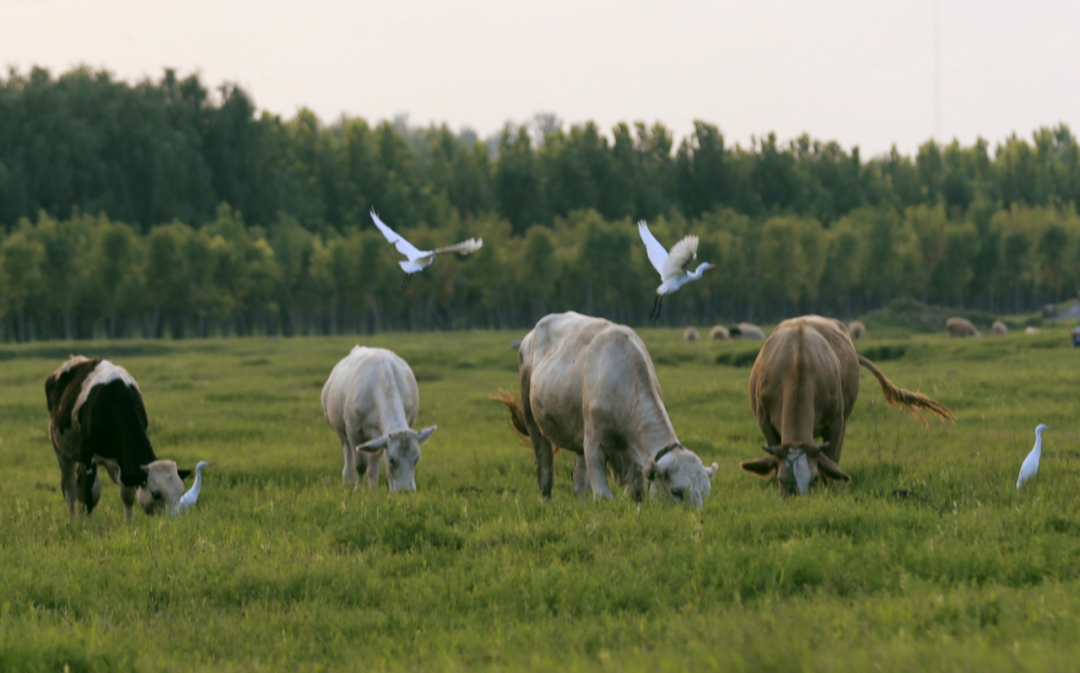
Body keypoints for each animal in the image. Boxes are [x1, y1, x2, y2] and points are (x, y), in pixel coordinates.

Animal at [45, 358, 192, 520]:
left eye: (181, 492)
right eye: (156, 494)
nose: (174, 520)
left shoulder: (123, 461)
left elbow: (127, 495)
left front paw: (128, 522)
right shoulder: (88, 455)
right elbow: (91, 493)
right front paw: (89, 523)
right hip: (60, 448)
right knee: (69, 486)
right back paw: (73, 519)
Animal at [321, 345, 436, 492]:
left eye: (417, 458)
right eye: (392, 459)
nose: (406, 491)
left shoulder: (380, 437)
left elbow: (373, 467)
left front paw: (373, 490)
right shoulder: (354, 431)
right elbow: (360, 465)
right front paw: (358, 490)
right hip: (341, 430)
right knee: (347, 453)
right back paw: (348, 480)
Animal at [494, 313, 717, 507]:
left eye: (705, 493)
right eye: (676, 491)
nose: (694, 518)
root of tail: (530, 334)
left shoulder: (634, 456)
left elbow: (636, 492)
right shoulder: (593, 442)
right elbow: (603, 495)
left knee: (579, 478)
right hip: (533, 419)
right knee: (545, 467)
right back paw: (546, 500)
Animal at [734, 315, 954, 494]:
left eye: (814, 479)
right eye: (781, 479)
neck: (796, 363)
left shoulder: (835, 423)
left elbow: (831, 458)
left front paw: (831, 489)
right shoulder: (765, 423)